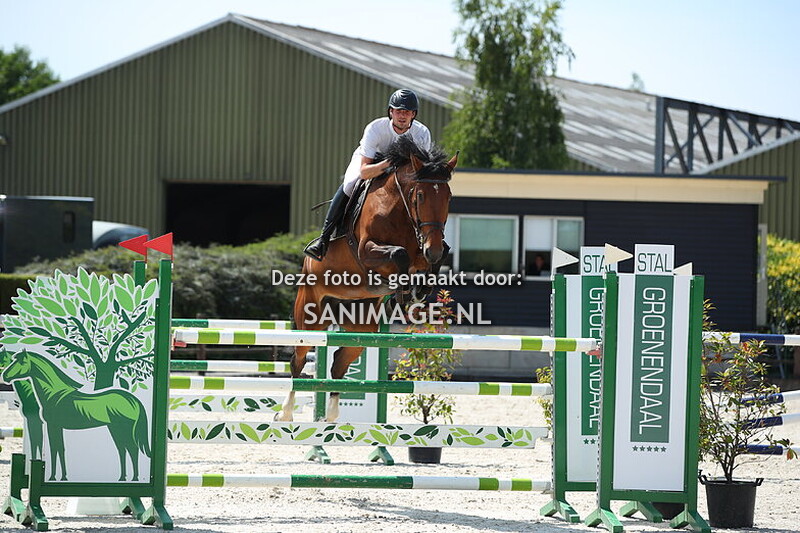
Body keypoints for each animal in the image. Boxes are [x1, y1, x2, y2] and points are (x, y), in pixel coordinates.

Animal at [1, 350, 152, 481]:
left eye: (21, 362)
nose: (5, 376)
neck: (54, 394)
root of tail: (133, 400)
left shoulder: (52, 426)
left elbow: (55, 449)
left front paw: (53, 477)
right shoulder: (56, 427)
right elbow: (60, 449)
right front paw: (62, 477)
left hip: (123, 429)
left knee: (132, 449)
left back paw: (135, 478)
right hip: (115, 429)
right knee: (123, 449)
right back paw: (122, 478)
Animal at [279, 136, 457, 422]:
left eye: (448, 196)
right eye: (420, 195)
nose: (433, 249)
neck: (400, 212)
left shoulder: (427, 249)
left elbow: (433, 260)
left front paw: (417, 290)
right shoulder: (366, 251)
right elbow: (399, 254)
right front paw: (402, 292)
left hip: (361, 325)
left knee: (340, 362)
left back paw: (331, 416)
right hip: (310, 317)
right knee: (298, 359)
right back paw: (285, 413)